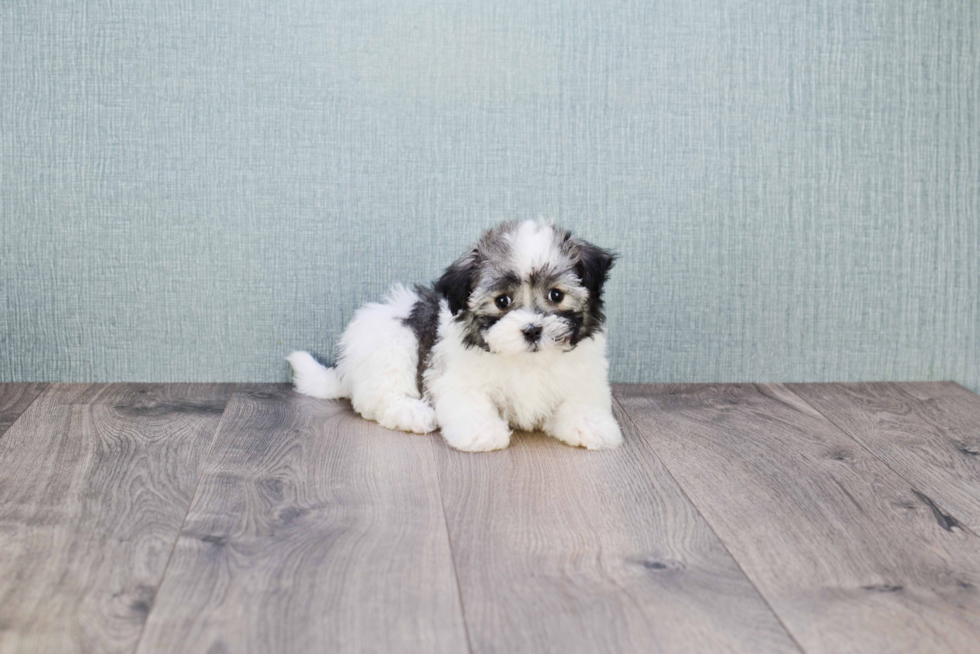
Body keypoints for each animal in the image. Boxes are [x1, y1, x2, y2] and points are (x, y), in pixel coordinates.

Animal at [288, 219, 620, 452]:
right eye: (502, 301)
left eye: (556, 295)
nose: (532, 329)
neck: (526, 362)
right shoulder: (457, 379)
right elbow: (471, 402)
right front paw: (482, 432)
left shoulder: (583, 375)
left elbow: (581, 400)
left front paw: (591, 426)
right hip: (394, 340)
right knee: (382, 396)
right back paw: (412, 413)